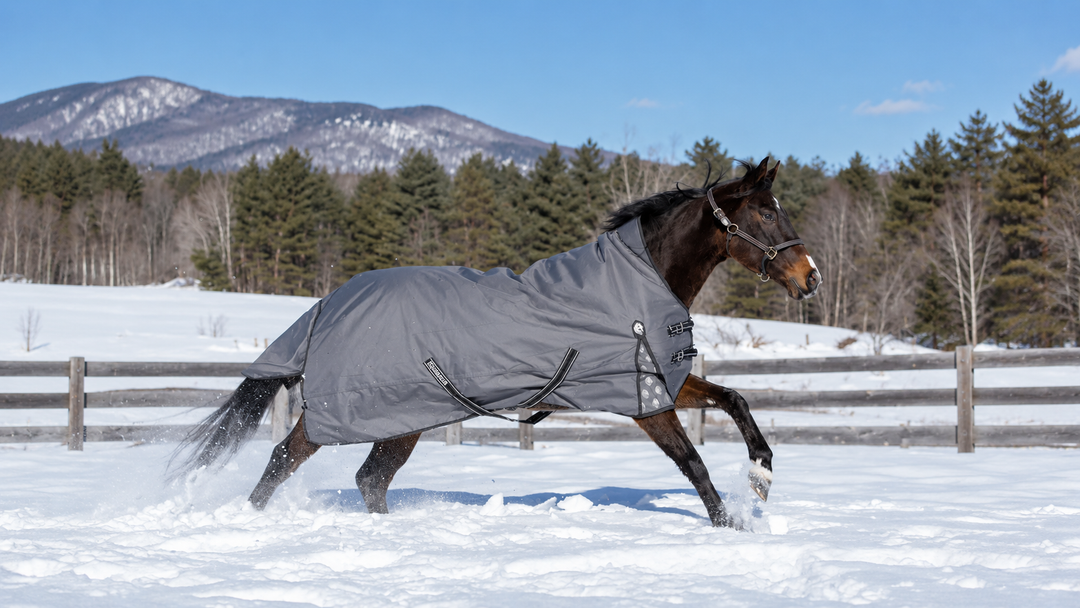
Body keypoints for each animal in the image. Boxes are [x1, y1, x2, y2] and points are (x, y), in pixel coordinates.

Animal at [171, 156, 820, 528]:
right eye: (765, 215)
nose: (809, 277)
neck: (639, 279)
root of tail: (327, 305)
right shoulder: (644, 399)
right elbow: (692, 462)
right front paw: (730, 525)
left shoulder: (663, 382)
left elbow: (735, 399)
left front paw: (761, 478)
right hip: (367, 412)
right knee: (289, 457)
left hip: (402, 420)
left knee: (368, 479)